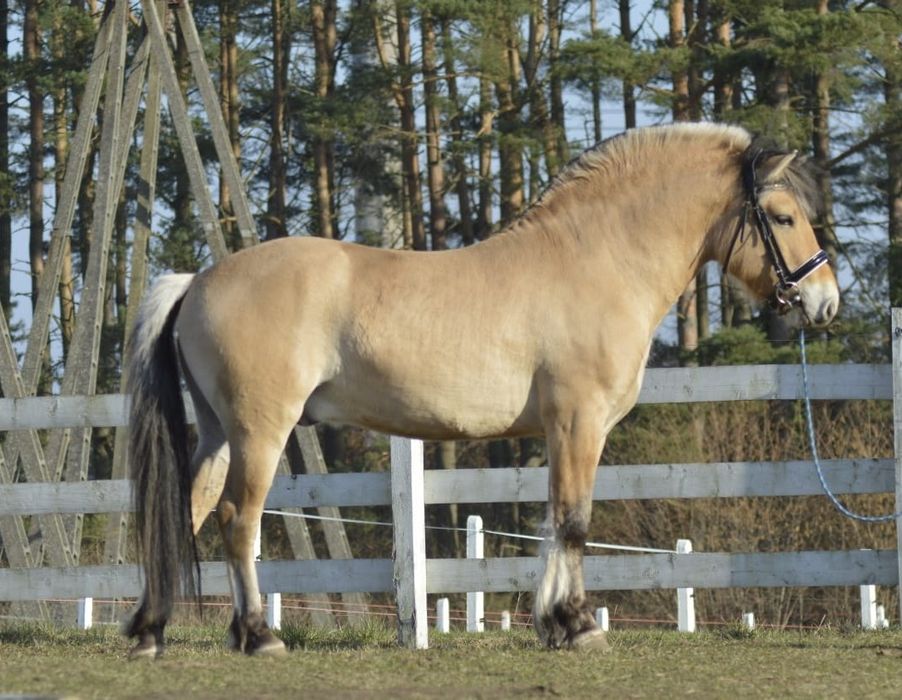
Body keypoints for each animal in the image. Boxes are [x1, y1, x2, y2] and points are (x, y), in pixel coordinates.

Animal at [122, 124, 840, 656]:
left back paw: (151, 631)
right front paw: (579, 626)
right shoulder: (579, 421)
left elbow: (553, 520)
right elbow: (574, 522)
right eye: (782, 216)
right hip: (259, 430)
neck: (597, 261)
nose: (825, 301)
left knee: (188, 508)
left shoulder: (560, 430)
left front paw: (555, 624)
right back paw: (258, 636)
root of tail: (199, 279)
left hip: (219, 432)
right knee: (237, 518)